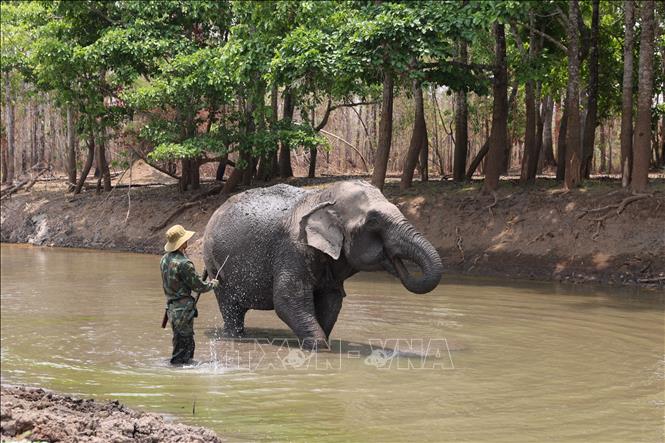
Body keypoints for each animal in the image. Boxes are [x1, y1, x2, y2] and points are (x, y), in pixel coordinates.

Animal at [202, 180, 443, 349]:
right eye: (373, 220)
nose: (394, 260)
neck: (324, 196)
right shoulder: (293, 248)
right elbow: (287, 299)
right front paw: (318, 347)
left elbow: (331, 300)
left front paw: (322, 342)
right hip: (214, 263)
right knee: (230, 307)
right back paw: (236, 337)